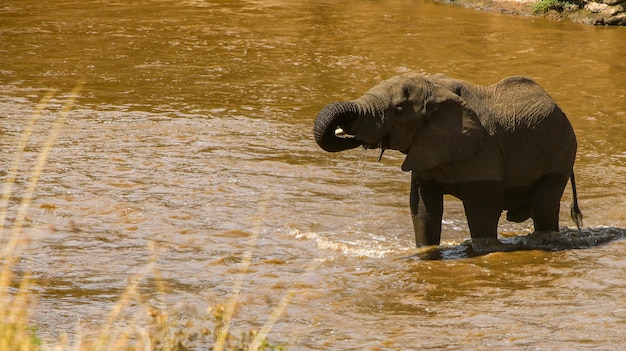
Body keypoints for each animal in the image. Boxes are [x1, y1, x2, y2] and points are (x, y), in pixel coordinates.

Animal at [312, 71, 580, 249]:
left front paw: (484, 250)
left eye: (398, 110)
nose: (349, 133)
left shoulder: (485, 152)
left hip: (561, 151)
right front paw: (426, 252)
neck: (434, 86)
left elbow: (483, 209)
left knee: (543, 206)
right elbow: (423, 209)